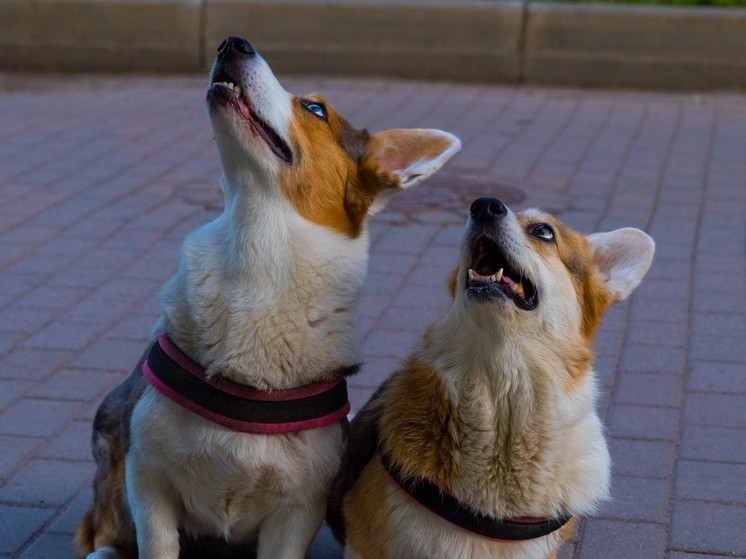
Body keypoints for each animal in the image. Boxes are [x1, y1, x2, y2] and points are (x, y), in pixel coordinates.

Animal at [75, 36, 460, 559]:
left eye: (315, 109)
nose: (232, 43)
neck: (260, 249)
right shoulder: (149, 483)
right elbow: (155, 542)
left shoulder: (298, 510)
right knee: (99, 530)